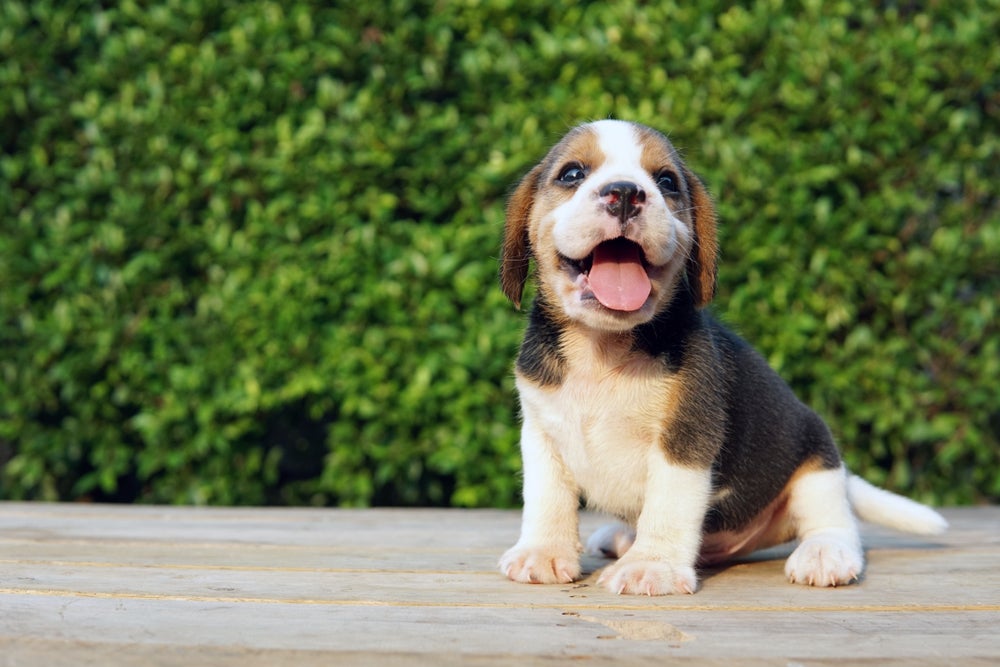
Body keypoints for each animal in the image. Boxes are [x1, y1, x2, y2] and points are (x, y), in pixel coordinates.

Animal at [498, 118, 944, 596]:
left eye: (666, 182)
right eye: (572, 174)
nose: (625, 193)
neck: (602, 347)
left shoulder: (686, 437)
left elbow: (668, 505)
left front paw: (652, 565)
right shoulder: (542, 434)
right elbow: (547, 500)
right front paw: (543, 551)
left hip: (816, 458)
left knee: (832, 519)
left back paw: (826, 553)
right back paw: (623, 538)